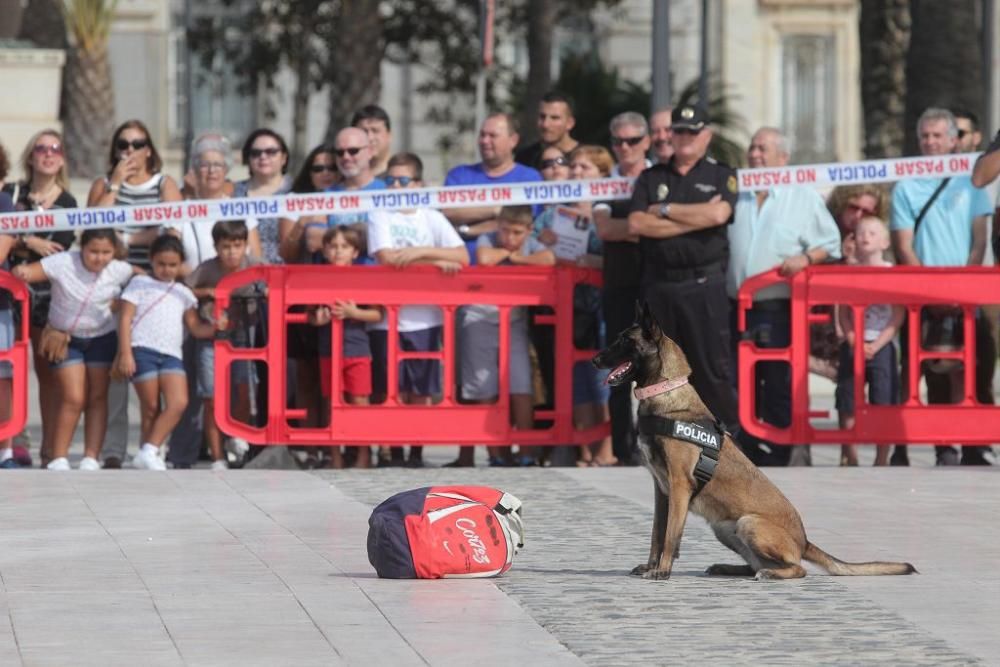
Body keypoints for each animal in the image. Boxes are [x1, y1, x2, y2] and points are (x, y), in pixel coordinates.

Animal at [588, 306, 916, 580]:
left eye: (624, 341)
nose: (594, 359)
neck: (665, 393)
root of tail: (804, 541)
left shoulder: (679, 486)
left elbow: (670, 536)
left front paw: (662, 571)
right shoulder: (662, 490)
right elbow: (656, 534)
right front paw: (651, 566)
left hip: (748, 523)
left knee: (797, 569)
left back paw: (768, 573)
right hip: (726, 529)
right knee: (755, 563)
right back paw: (729, 568)